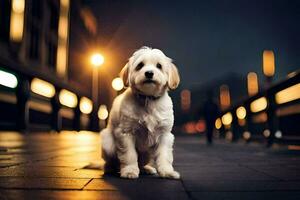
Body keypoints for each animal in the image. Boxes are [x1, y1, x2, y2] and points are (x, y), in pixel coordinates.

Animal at [101, 47, 180, 180]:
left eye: (159, 66)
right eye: (140, 65)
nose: (149, 73)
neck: (148, 100)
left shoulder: (165, 135)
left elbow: (164, 156)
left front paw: (167, 172)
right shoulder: (126, 133)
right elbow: (129, 155)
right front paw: (129, 171)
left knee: (142, 162)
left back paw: (146, 169)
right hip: (108, 144)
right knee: (111, 163)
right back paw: (111, 169)